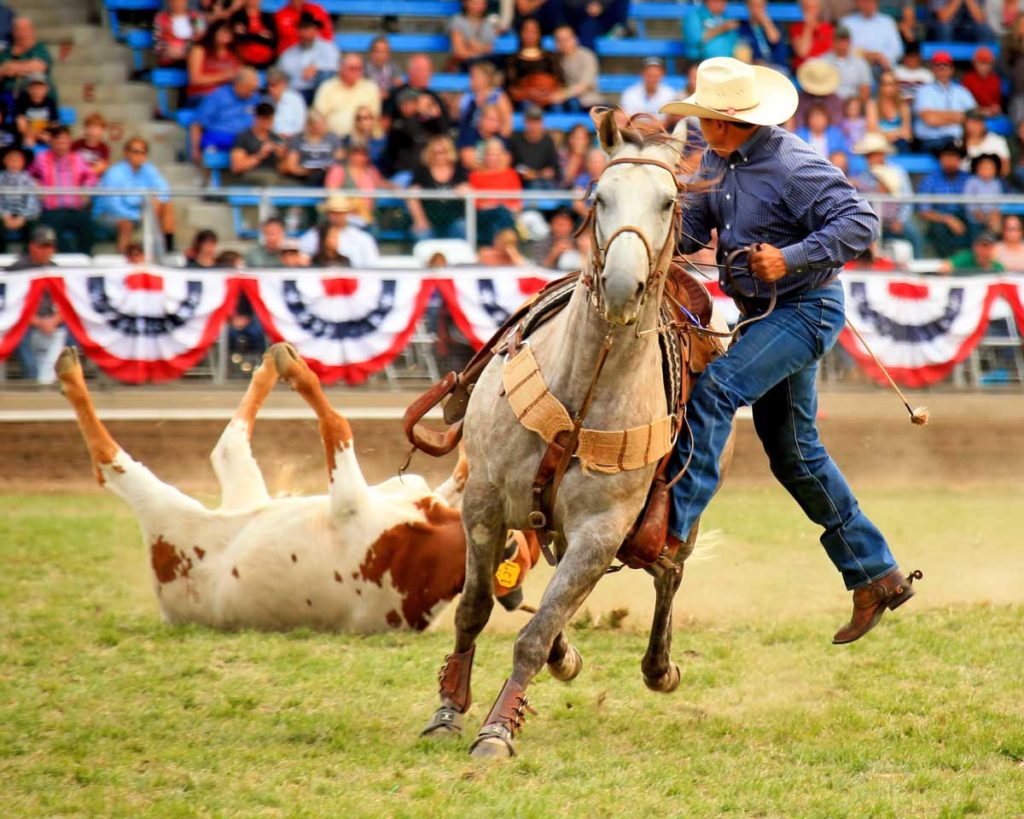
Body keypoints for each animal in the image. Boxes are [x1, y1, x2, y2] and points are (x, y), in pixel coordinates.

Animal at [58, 341, 536, 630]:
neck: (422, 549)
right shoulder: (414, 493)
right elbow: (457, 475)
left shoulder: (350, 499)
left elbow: (337, 424)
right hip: (244, 489)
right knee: (229, 443)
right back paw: (272, 362)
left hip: (160, 506)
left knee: (115, 463)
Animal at [423, 112, 737, 757]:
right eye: (599, 198)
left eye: (668, 201)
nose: (621, 287)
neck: (581, 389)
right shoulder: (482, 501)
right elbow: (475, 607)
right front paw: (448, 707)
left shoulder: (601, 532)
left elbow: (536, 634)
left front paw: (497, 728)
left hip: (676, 512)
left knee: (669, 572)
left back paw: (657, 667)